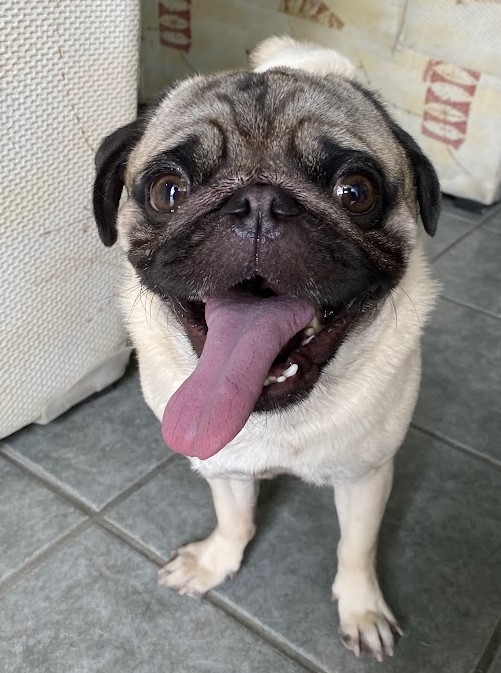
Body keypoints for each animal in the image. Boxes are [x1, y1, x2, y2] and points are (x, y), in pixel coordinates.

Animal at [93, 37, 439, 660]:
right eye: (168, 191)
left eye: (356, 191)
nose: (258, 203)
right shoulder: (222, 465)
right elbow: (235, 520)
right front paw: (215, 563)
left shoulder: (366, 476)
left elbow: (356, 548)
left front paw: (361, 608)